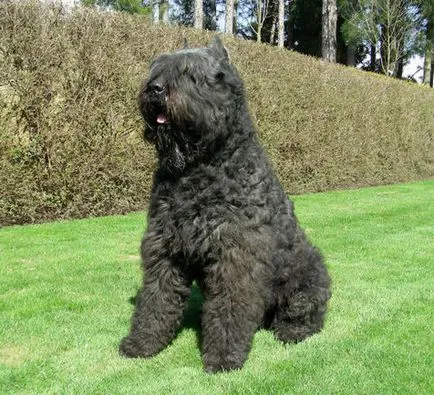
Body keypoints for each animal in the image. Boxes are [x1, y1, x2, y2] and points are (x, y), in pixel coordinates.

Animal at [120, 38, 330, 374]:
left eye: (191, 74)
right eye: (157, 70)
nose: (155, 89)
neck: (199, 168)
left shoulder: (235, 254)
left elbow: (230, 306)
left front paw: (223, 357)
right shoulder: (164, 248)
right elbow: (156, 298)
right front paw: (143, 343)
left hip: (307, 277)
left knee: (307, 312)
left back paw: (293, 330)